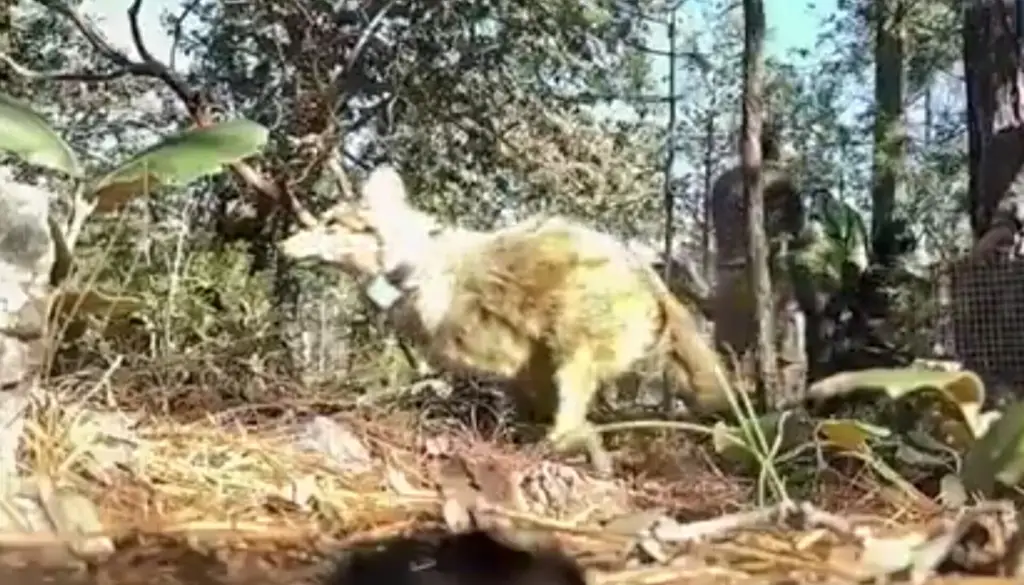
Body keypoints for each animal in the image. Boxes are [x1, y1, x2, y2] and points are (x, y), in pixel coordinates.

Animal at [278, 165, 733, 477]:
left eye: (331, 224)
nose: (282, 246)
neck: (409, 265)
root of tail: (652, 279)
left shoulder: (503, 359)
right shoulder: (525, 371)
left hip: (574, 357)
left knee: (569, 430)